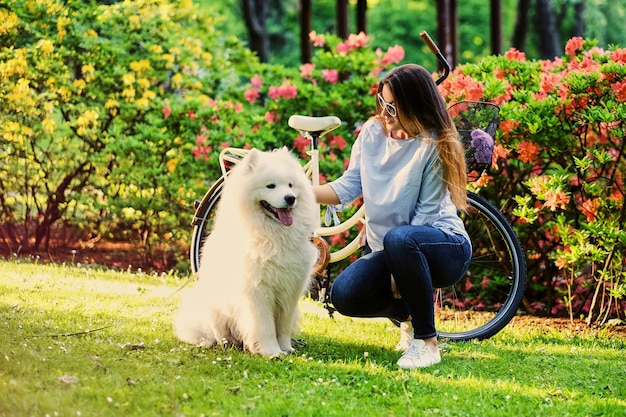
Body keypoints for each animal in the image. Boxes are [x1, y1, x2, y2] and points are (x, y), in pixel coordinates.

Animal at [173, 147, 316, 358]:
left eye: (290, 185)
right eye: (271, 186)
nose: (291, 198)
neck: (273, 237)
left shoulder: (291, 291)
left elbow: (283, 327)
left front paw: (286, 349)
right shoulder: (258, 291)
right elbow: (266, 327)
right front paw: (271, 352)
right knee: (213, 332)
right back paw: (220, 342)